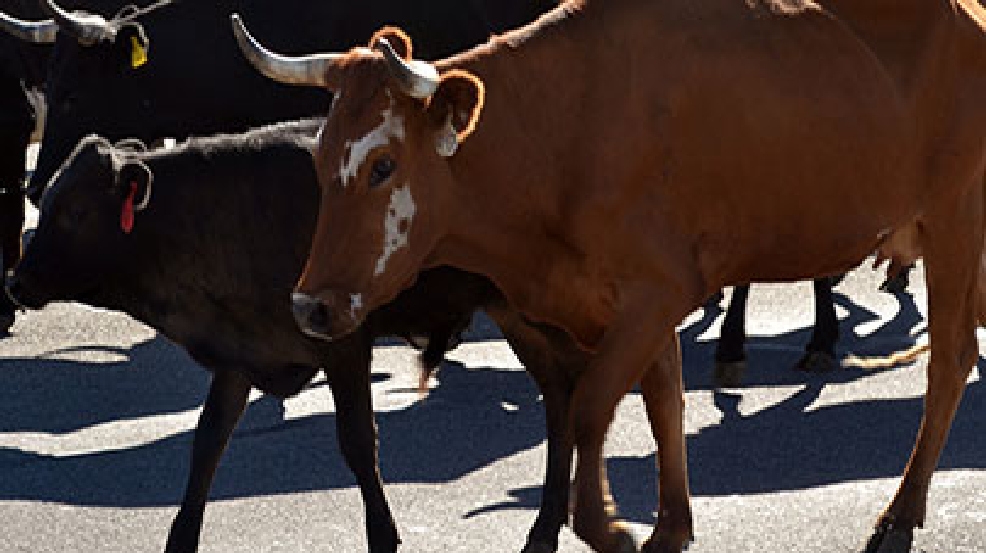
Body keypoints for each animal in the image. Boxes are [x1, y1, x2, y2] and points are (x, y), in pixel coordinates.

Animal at [5, 119, 601, 553]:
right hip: (516, 314)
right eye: (47, 200)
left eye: (76, 211)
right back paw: (545, 528)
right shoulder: (242, 352)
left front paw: (383, 535)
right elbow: (207, 442)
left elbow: (358, 442)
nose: (16, 281)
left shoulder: (343, 345)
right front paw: (181, 538)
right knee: (560, 395)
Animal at [233, 1, 986, 552]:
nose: (310, 307)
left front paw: (610, 527)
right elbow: (664, 403)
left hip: (956, 217)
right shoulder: (627, 304)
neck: (559, 133)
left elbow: (593, 403)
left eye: (384, 165)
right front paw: (670, 526)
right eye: (320, 158)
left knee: (950, 359)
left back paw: (899, 514)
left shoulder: (656, 293)